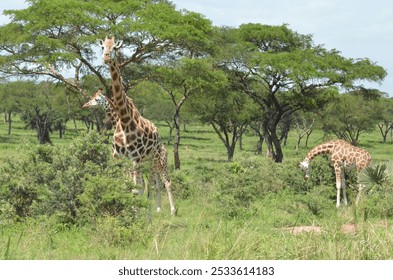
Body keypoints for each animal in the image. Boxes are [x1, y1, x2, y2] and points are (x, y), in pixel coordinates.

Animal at [95, 35, 175, 214]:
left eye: (115, 48)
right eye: (103, 47)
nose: (106, 57)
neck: (124, 121)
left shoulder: (134, 158)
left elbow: (134, 188)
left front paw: (134, 212)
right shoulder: (117, 157)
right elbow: (122, 185)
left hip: (154, 160)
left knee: (159, 183)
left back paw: (166, 211)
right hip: (147, 162)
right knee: (151, 184)